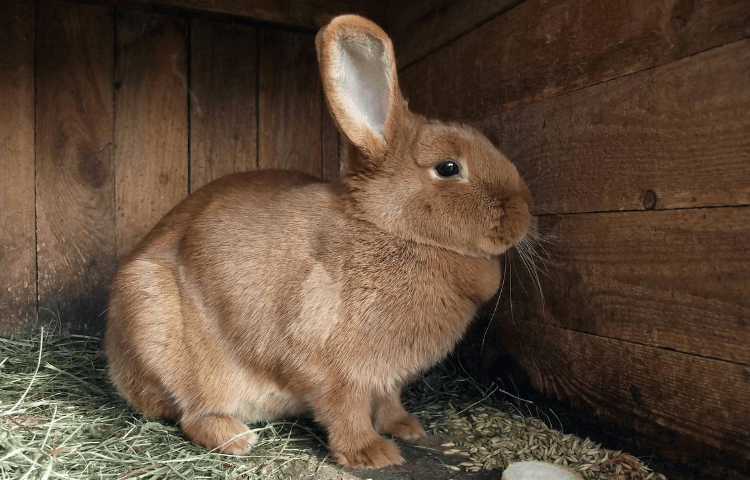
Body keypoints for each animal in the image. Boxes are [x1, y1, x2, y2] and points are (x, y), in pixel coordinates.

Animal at [104, 14, 532, 469]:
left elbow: (389, 403)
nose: (524, 211)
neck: (390, 228)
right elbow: (344, 408)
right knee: (190, 412)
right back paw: (236, 438)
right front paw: (373, 454)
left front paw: (407, 428)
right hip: (156, 324)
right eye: (449, 168)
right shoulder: (326, 363)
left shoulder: (387, 378)